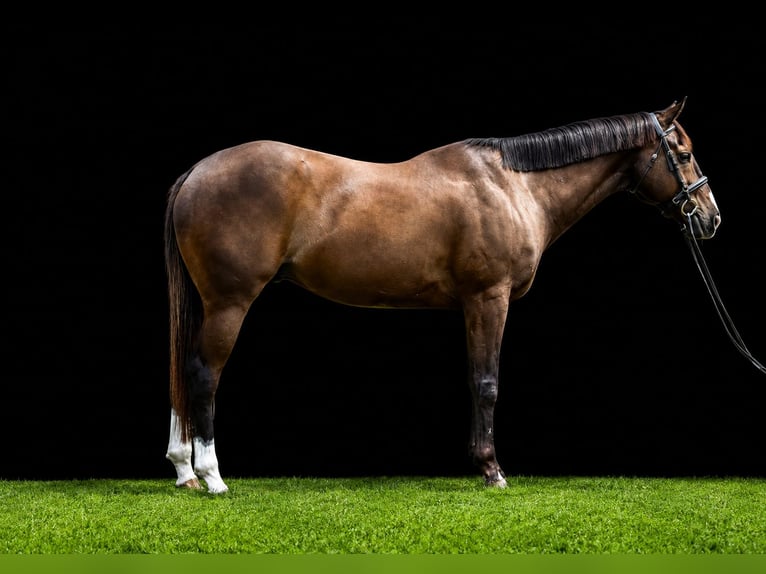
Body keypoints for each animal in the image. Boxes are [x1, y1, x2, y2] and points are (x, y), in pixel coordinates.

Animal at [163, 98, 720, 493]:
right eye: (684, 154)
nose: (711, 217)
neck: (512, 186)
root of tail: (196, 172)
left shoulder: (474, 305)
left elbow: (475, 380)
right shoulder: (489, 298)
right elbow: (486, 382)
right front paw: (492, 471)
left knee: (182, 372)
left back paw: (184, 471)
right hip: (229, 303)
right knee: (204, 374)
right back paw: (212, 477)